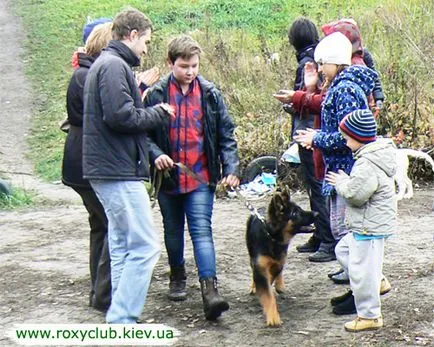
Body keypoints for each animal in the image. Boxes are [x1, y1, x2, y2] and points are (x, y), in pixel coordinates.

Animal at [246, 192, 318, 328]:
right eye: (295, 213)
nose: (317, 213)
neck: (272, 237)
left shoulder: (278, 262)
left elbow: (271, 281)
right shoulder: (260, 266)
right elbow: (267, 293)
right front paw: (273, 317)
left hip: (281, 259)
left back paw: (279, 285)